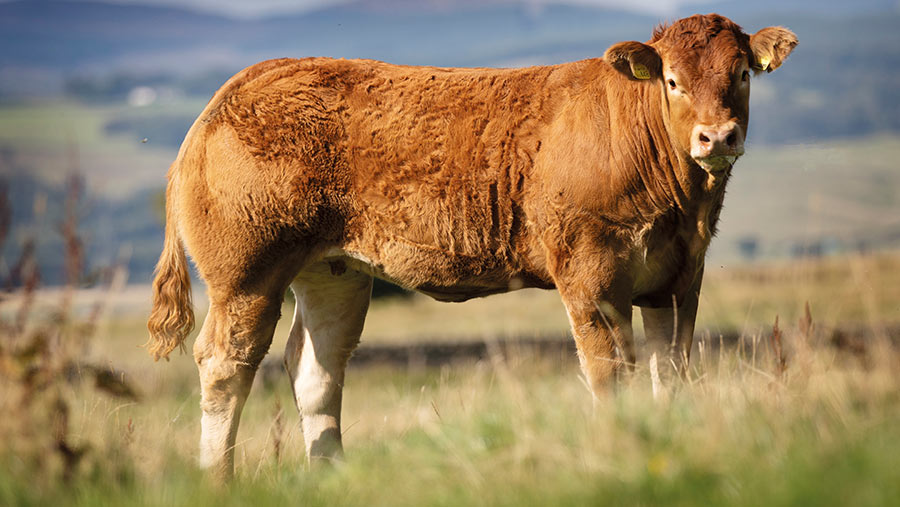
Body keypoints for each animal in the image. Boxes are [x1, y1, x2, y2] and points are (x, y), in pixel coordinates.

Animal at [146, 12, 796, 480]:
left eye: (741, 74)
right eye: (672, 81)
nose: (716, 136)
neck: (682, 205)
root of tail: (248, 79)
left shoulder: (679, 280)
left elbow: (673, 372)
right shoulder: (591, 274)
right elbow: (610, 373)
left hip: (334, 269)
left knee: (315, 369)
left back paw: (331, 480)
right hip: (246, 271)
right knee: (226, 364)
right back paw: (218, 481)